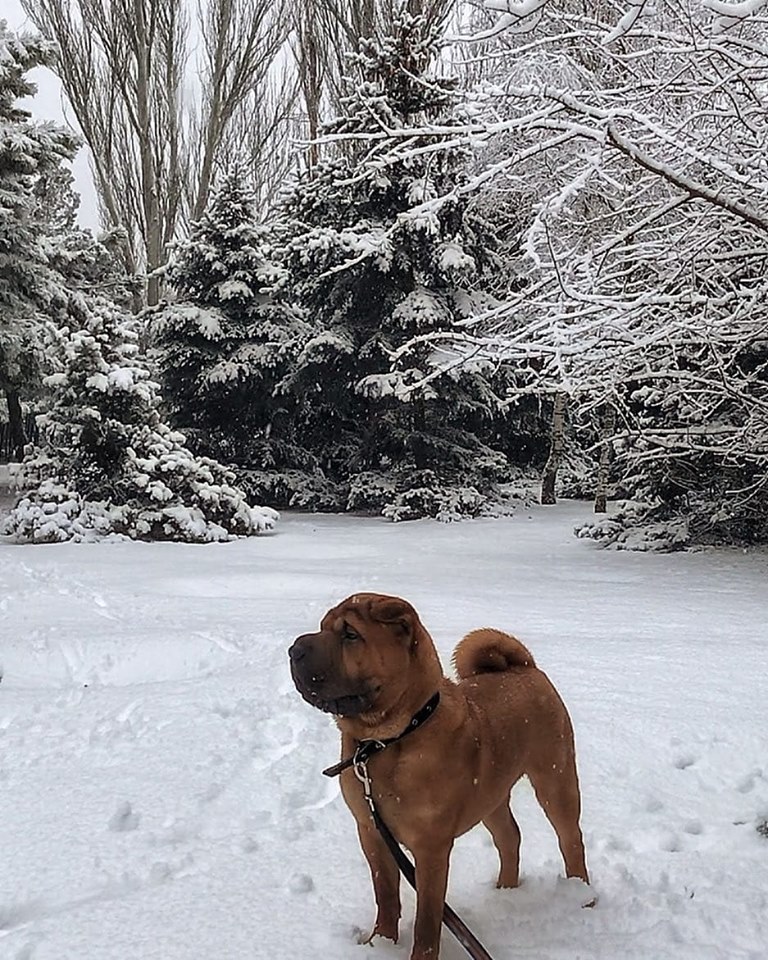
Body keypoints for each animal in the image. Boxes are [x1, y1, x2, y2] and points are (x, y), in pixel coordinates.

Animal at [288, 592, 588, 960]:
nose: (294, 650)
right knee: (509, 836)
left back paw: (582, 896)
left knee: (570, 838)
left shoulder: (431, 847)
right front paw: (380, 943)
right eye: (322, 627)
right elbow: (385, 894)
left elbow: (428, 917)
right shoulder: (371, 833)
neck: (386, 743)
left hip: (555, 777)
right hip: (490, 796)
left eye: (350, 634)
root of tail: (525, 667)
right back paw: (505, 891)